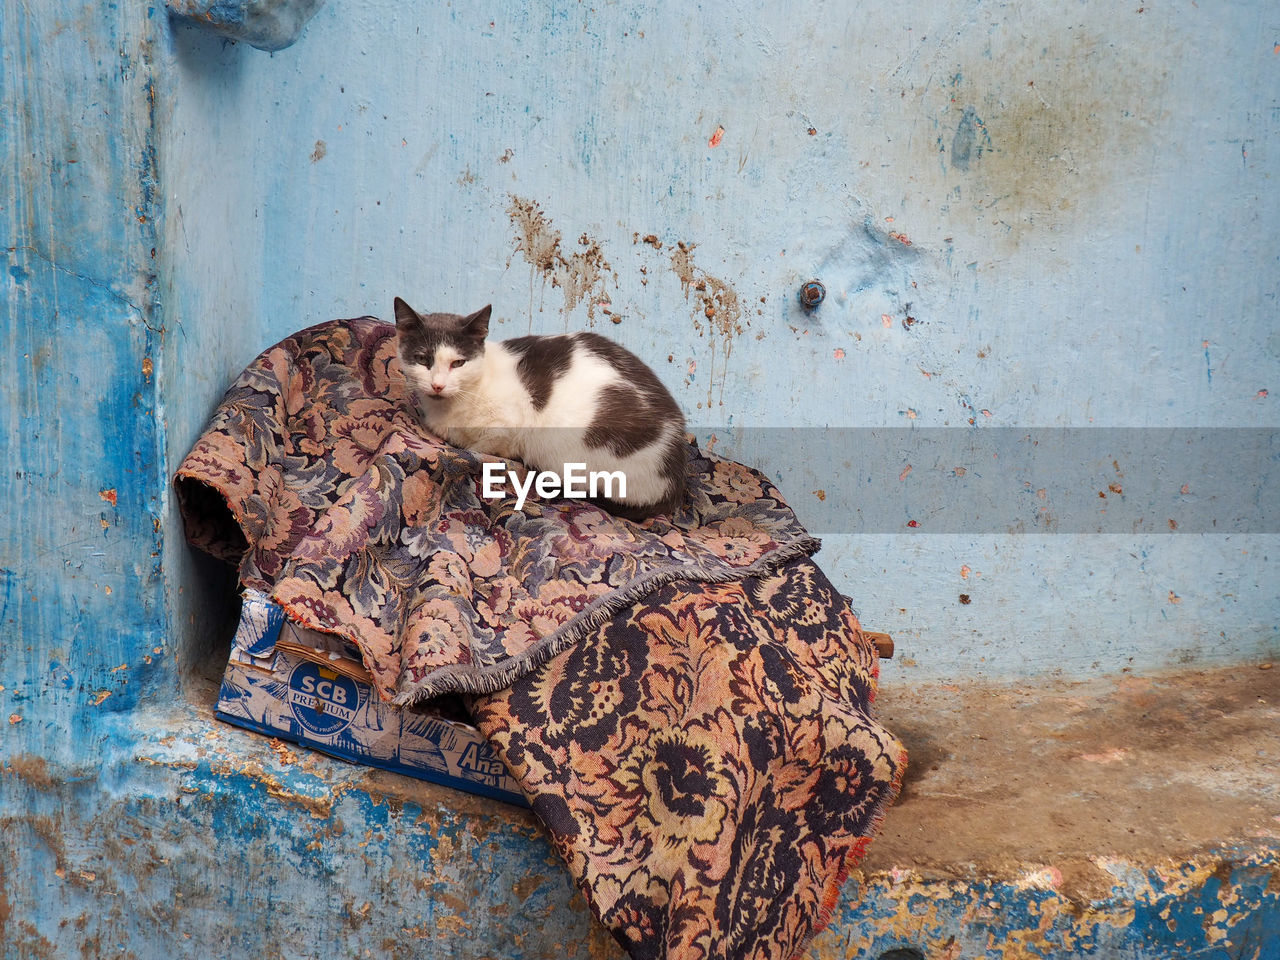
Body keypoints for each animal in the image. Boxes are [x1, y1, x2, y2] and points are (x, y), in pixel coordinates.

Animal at [394, 296, 691, 522]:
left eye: (458, 363)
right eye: (422, 359)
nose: (438, 385)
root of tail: (675, 480)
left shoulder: (507, 427)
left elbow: (483, 447)